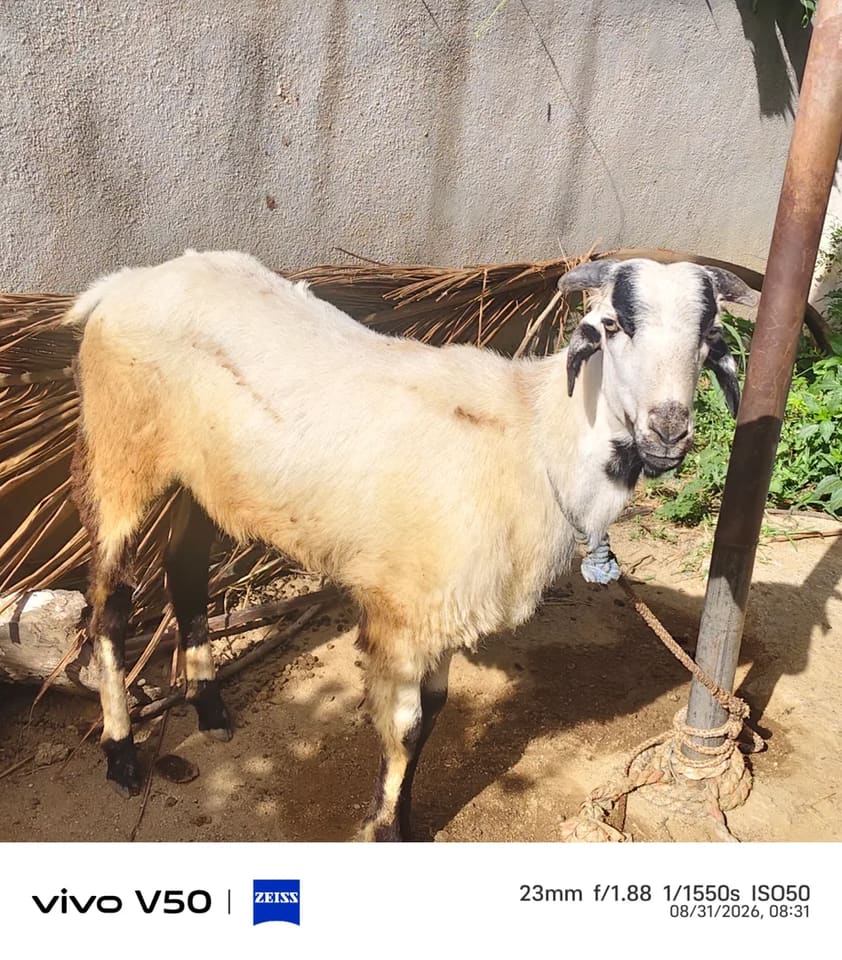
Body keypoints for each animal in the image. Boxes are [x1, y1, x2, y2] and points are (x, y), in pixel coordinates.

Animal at [64, 249, 756, 840]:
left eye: (708, 335)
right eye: (612, 326)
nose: (668, 431)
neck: (534, 439)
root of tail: (123, 284)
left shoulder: (443, 608)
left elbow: (435, 713)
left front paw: (408, 817)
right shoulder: (402, 613)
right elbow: (406, 726)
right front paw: (385, 829)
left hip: (196, 476)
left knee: (184, 574)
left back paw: (209, 710)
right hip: (119, 449)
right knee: (110, 604)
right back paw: (121, 755)